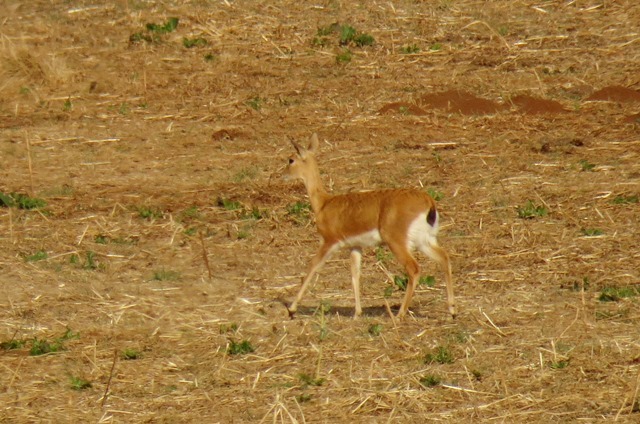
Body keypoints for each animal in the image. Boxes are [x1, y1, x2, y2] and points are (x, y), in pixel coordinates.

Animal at [284, 133, 456, 318]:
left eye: (291, 159)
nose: (283, 175)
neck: (324, 204)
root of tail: (428, 201)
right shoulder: (355, 246)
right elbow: (355, 275)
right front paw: (357, 313)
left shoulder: (329, 242)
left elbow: (312, 266)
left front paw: (292, 309)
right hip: (424, 241)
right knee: (444, 258)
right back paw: (452, 310)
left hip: (398, 242)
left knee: (414, 268)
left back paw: (400, 314)